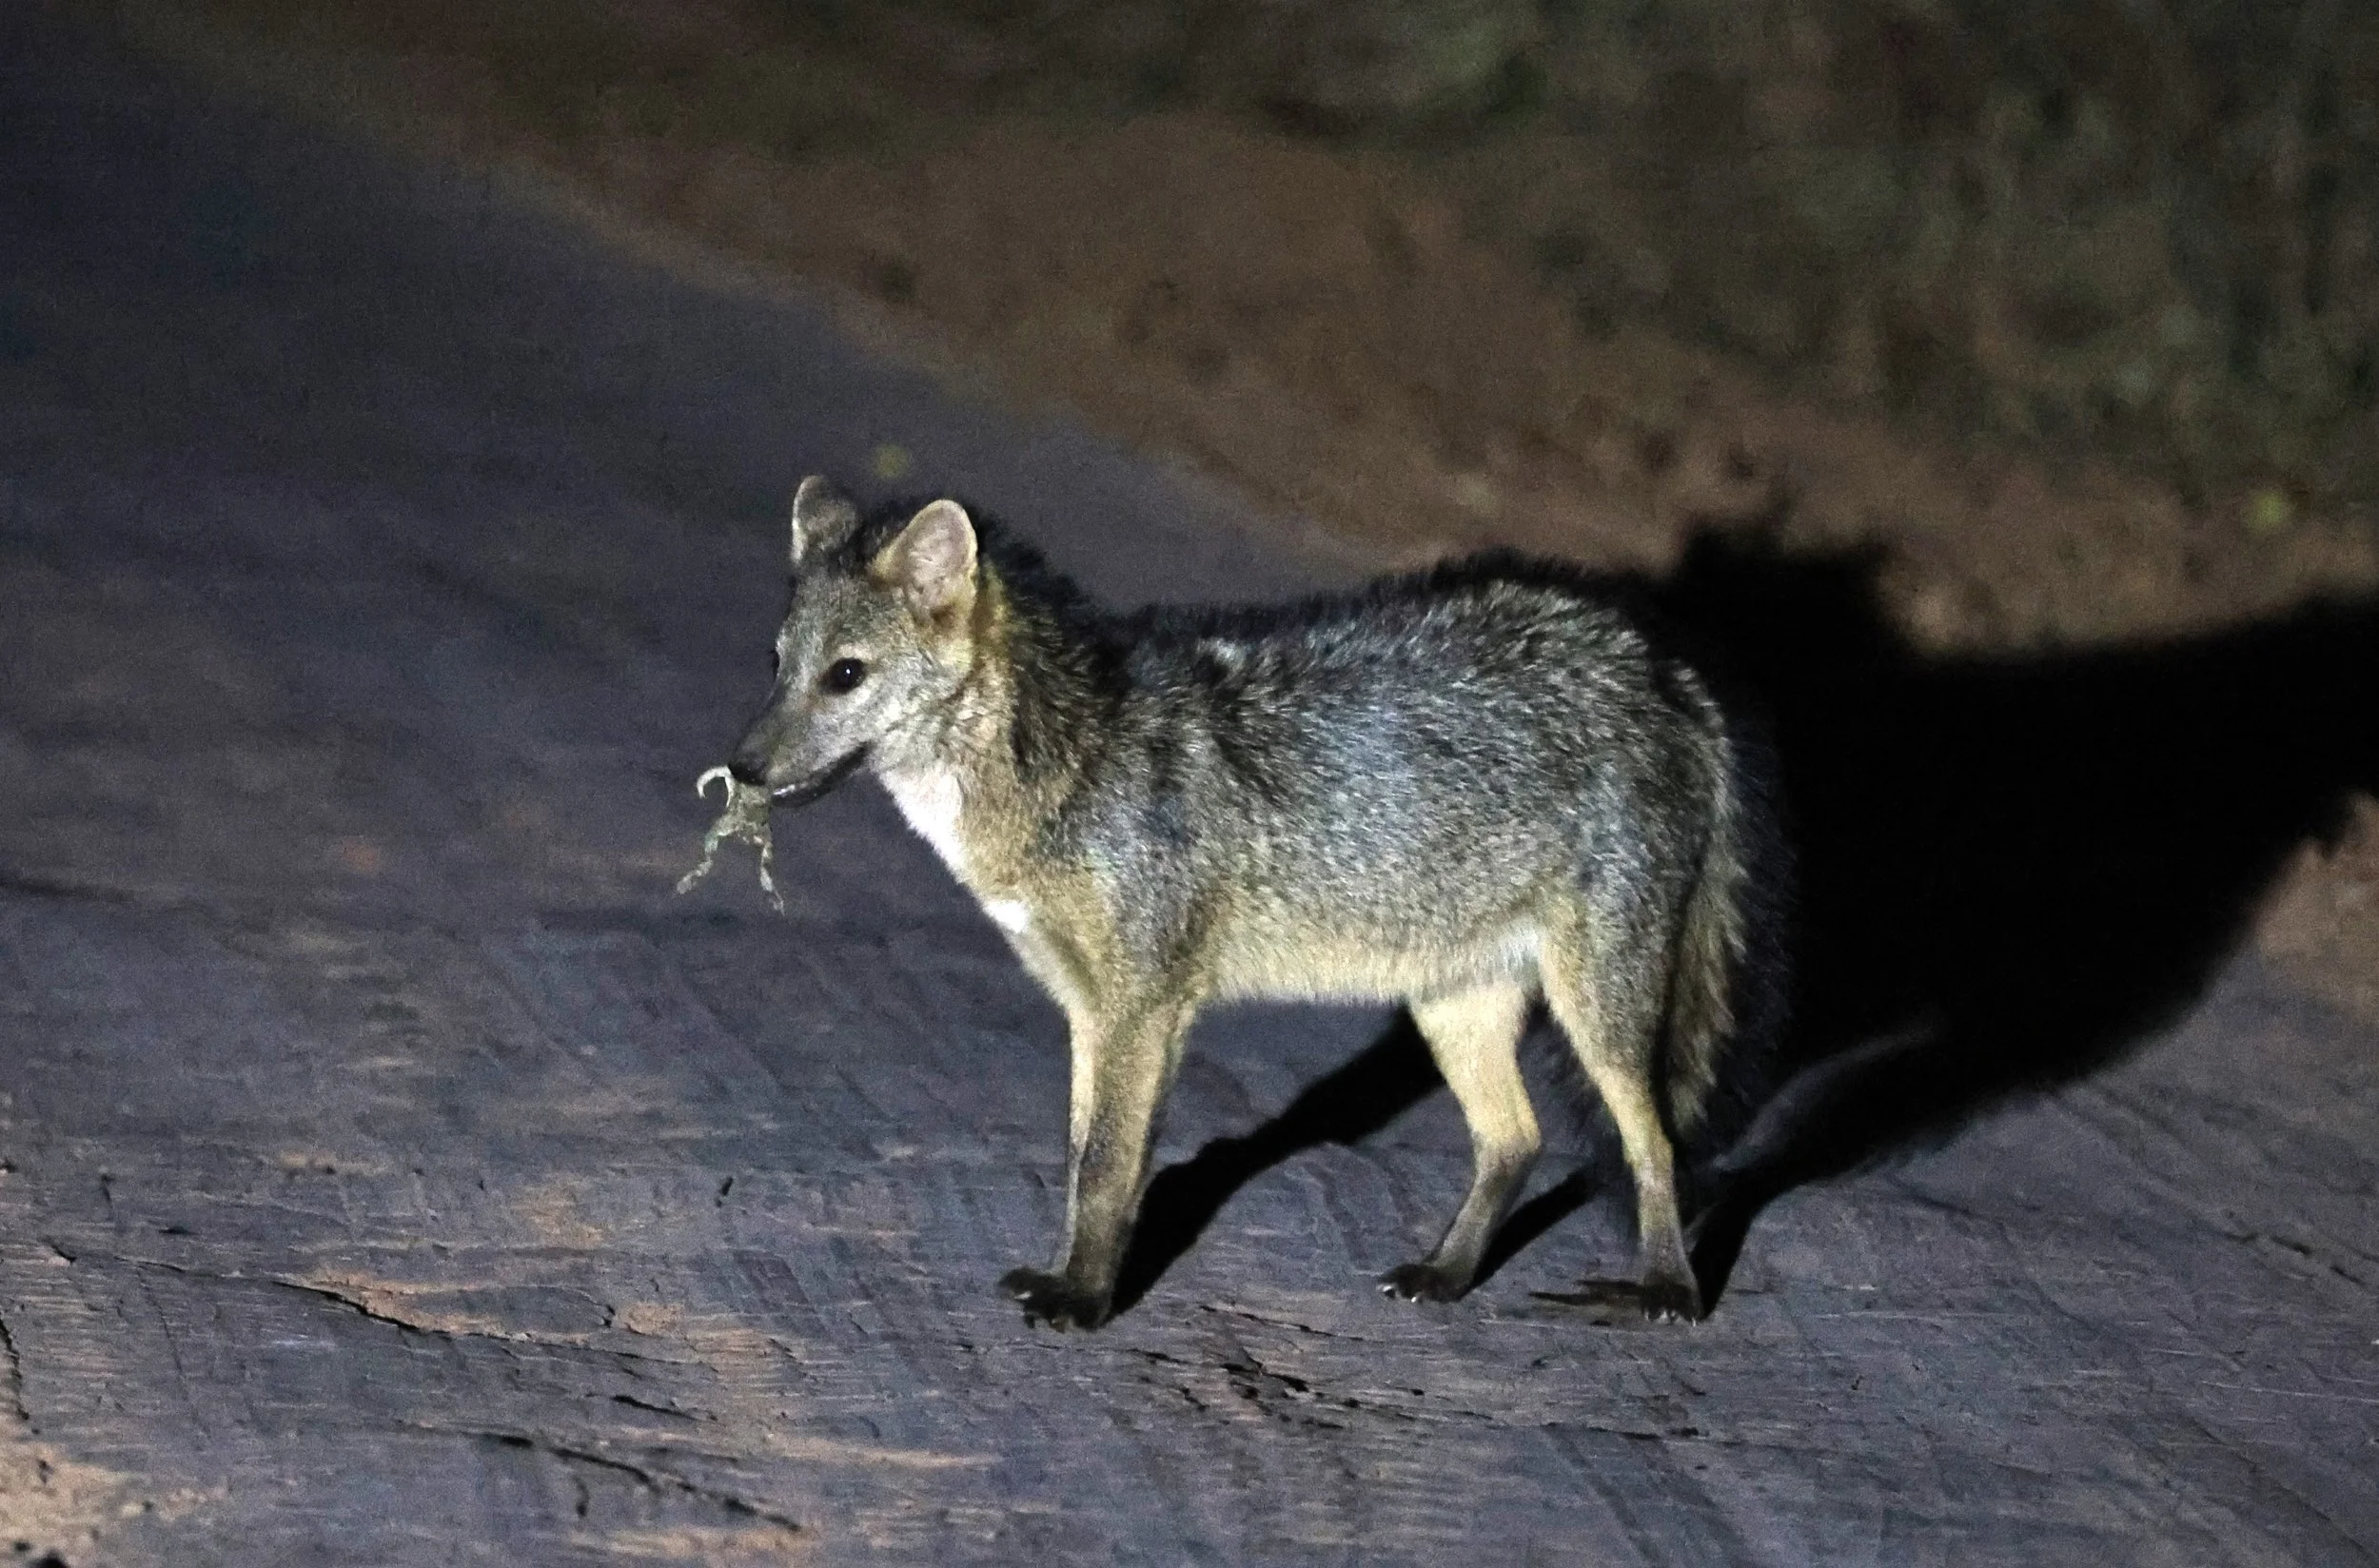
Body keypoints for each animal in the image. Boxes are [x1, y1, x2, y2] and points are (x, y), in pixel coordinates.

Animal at [720, 476, 1786, 1330]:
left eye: (845, 675)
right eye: (775, 663)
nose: (741, 770)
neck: (1068, 766)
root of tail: (1663, 669)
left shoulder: (1144, 1009)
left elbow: (1108, 1168)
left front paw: (1083, 1302)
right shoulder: (1088, 1010)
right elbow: (1081, 1160)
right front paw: (1071, 1276)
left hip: (1596, 1011)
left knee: (1655, 1145)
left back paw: (1668, 1293)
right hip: (1451, 1004)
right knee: (1515, 1140)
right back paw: (1444, 1275)